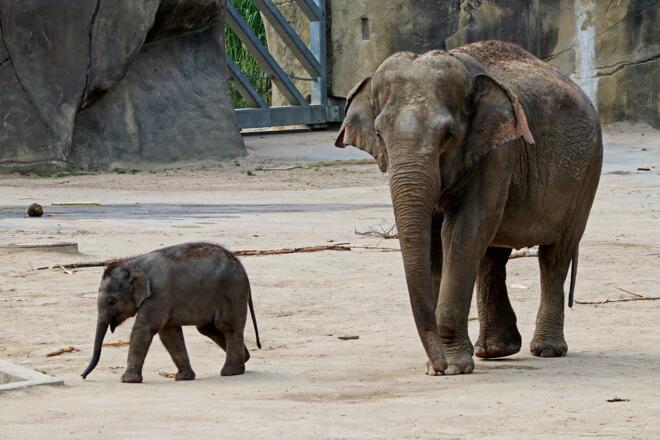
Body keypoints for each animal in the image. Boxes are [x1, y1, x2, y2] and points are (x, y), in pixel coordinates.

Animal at [81, 242, 261, 383]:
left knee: (227, 327)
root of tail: (241, 267)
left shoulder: (158, 295)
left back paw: (231, 372)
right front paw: (183, 377)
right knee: (208, 328)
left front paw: (127, 380)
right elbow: (169, 333)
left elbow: (144, 329)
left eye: (111, 301)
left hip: (232, 291)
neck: (132, 263)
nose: (82, 376)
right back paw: (244, 360)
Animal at [335, 40, 602, 375]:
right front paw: (441, 364)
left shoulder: (499, 150)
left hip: (587, 175)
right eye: (380, 135)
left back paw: (546, 350)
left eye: (448, 136)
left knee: (555, 254)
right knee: (492, 254)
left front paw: (453, 366)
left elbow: (463, 229)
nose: (437, 366)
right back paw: (495, 351)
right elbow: (435, 239)